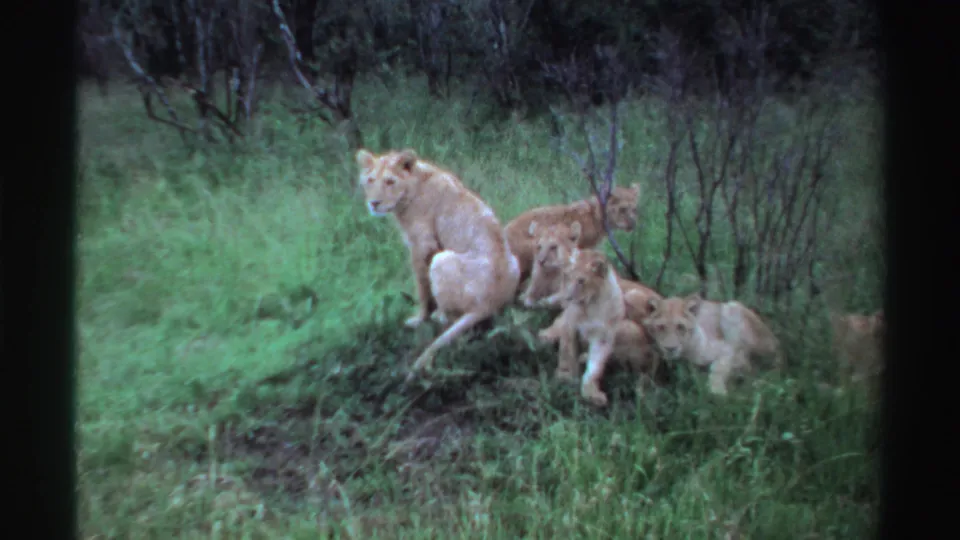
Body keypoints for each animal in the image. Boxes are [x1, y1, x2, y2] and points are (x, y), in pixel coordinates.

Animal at [356, 148, 521, 379]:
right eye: (370, 180)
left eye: (389, 181)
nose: (374, 203)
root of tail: (490, 303)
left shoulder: (422, 245)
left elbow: (422, 287)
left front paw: (419, 318)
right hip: (514, 260)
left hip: (441, 260)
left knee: (449, 318)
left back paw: (438, 315)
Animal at [536, 249, 661, 407]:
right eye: (566, 276)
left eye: (581, 281)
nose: (567, 298)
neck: (590, 307)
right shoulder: (569, 323)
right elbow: (566, 350)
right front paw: (565, 375)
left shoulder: (604, 336)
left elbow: (595, 367)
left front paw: (591, 393)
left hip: (632, 311)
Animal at [641, 294, 783, 396]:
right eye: (661, 327)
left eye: (680, 327)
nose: (670, 348)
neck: (685, 354)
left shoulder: (726, 348)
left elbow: (718, 368)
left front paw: (717, 391)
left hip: (731, 308)